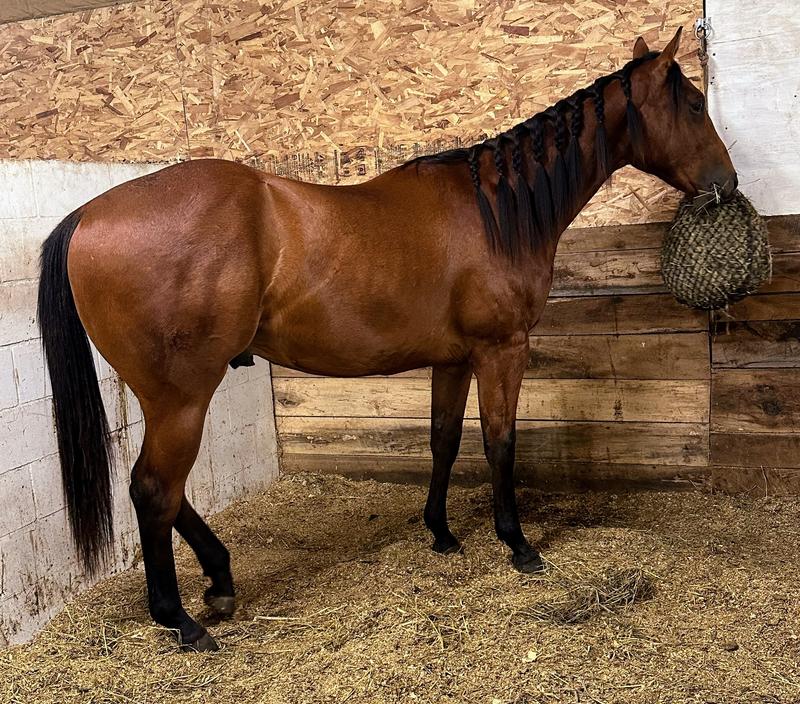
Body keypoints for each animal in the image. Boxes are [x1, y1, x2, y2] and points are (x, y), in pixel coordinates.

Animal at [37, 28, 736, 651]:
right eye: (693, 105)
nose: (727, 184)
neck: (494, 213)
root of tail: (90, 214)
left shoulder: (454, 360)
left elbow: (445, 439)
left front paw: (442, 533)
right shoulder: (501, 350)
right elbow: (501, 442)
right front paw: (517, 544)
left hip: (165, 400)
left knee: (164, 490)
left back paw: (220, 577)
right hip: (181, 398)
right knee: (155, 489)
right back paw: (180, 619)